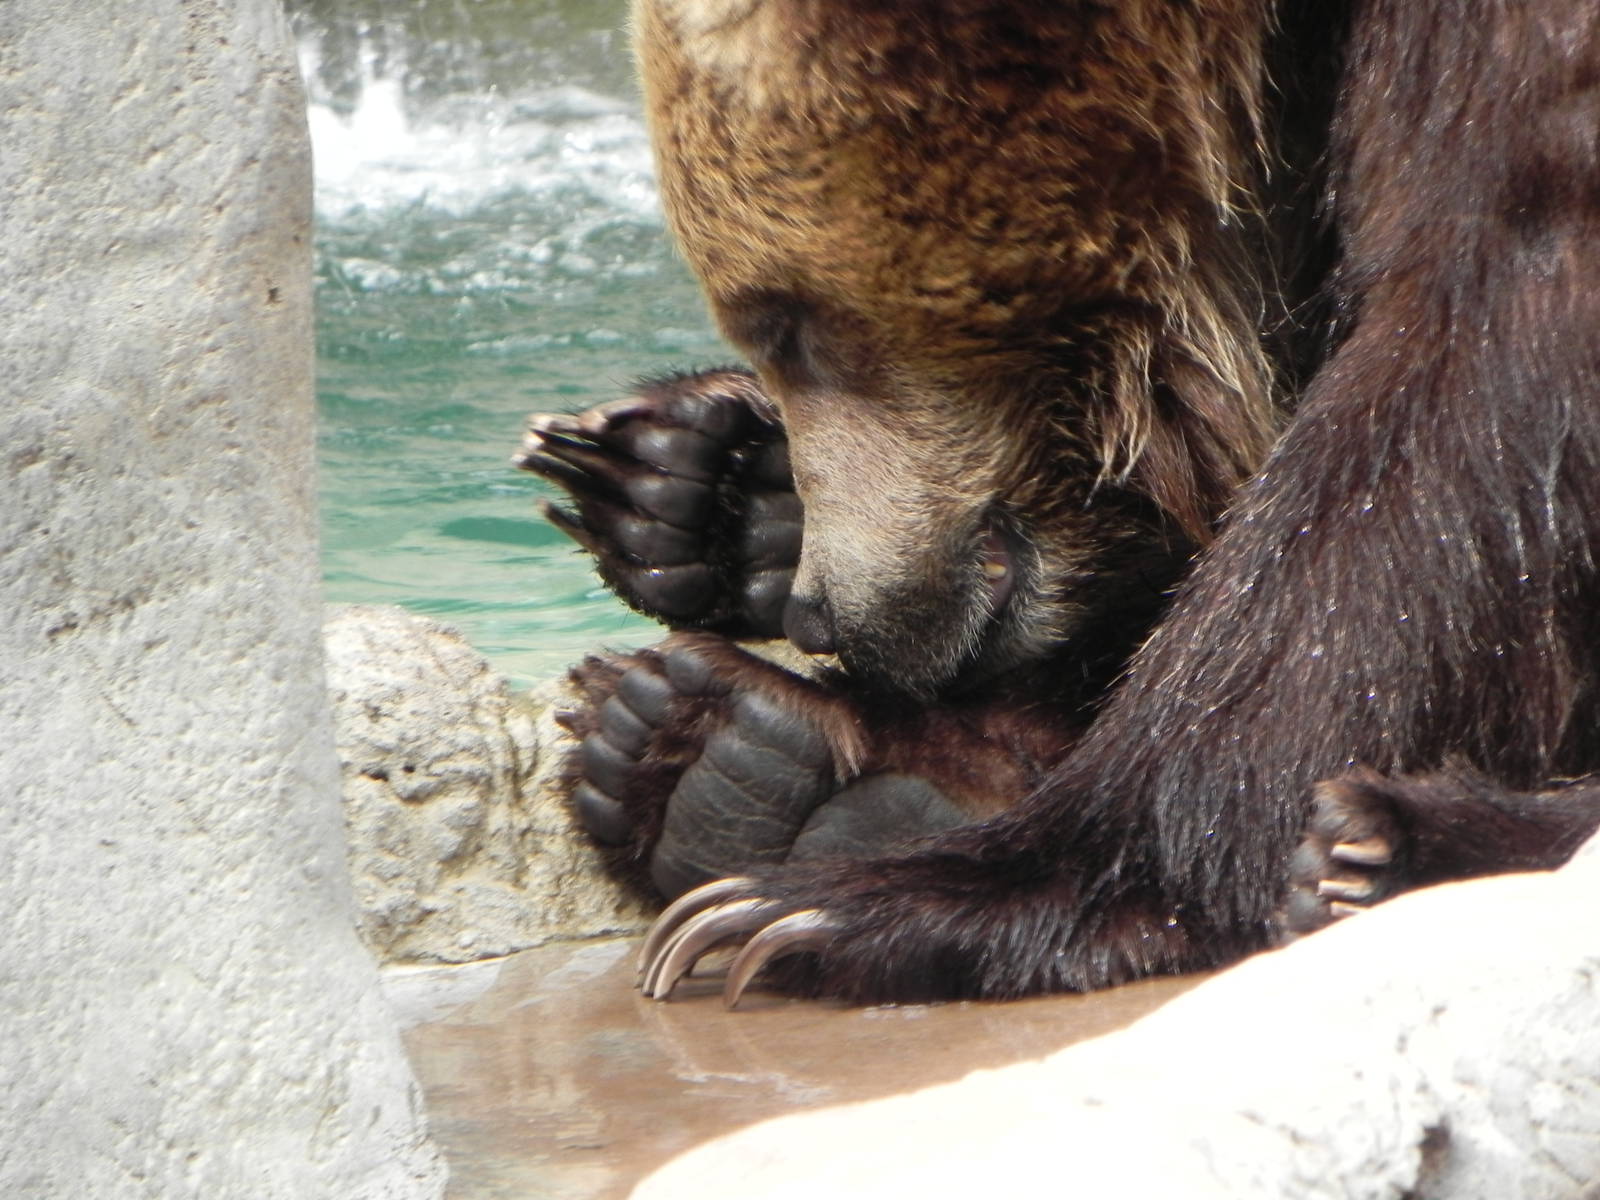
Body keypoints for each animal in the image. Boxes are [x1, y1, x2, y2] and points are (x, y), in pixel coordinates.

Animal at [519, 0, 1600, 1005]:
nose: (817, 612)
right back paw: (705, 729)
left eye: (791, 325)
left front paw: (910, 898)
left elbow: (1468, 358)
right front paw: (695, 478)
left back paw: (1381, 853)